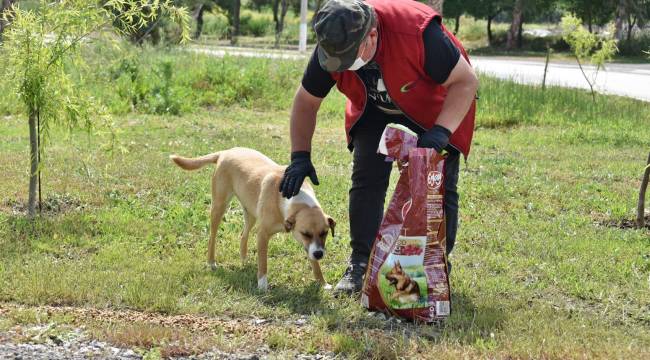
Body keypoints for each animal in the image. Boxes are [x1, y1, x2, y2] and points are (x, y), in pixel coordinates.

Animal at [170, 148, 334, 292]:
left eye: (324, 233)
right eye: (305, 233)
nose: (319, 254)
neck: (294, 200)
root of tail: (226, 152)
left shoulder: (310, 245)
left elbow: (315, 265)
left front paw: (322, 283)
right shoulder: (263, 235)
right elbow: (263, 263)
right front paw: (262, 286)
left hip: (251, 214)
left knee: (243, 235)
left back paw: (244, 260)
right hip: (219, 207)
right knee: (212, 237)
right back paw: (211, 262)